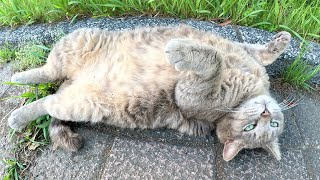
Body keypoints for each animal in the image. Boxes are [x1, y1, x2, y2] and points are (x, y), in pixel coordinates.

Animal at [8, 24, 292, 161]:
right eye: (252, 126)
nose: (266, 114)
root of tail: (73, 80)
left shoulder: (188, 96)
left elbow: (215, 61)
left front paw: (182, 52)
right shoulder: (241, 50)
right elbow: (251, 53)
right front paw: (280, 42)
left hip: (79, 103)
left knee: (48, 100)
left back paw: (17, 115)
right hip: (78, 39)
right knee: (48, 71)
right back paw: (18, 77)